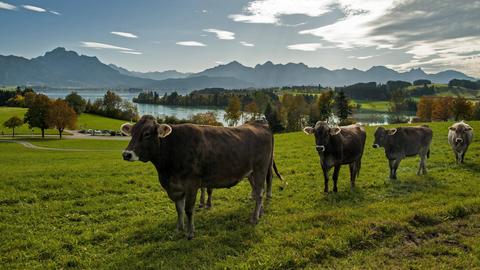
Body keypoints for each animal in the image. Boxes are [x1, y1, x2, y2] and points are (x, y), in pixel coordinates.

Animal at [120, 115, 284, 239]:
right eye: (132, 132)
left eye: (147, 133)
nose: (126, 154)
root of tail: (260, 123)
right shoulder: (175, 187)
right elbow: (179, 209)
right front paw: (179, 228)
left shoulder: (191, 184)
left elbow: (188, 209)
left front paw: (190, 233)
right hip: (250, 172)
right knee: (258, 191)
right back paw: (260, 212)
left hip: (261, 169)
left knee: (260, 192)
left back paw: (254, 218)